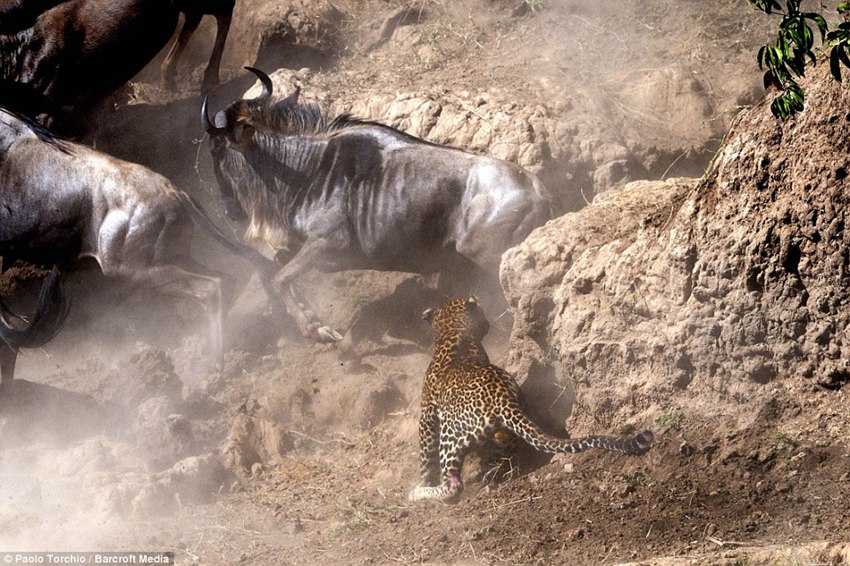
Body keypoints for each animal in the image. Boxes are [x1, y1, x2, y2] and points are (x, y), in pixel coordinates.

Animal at [408, 298, 652, 506]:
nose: (487, 323)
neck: (453, 331)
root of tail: (504, 400)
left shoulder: (427, 416)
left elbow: (425, 459)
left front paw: (424, 481)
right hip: (502, 432)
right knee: (501, 455)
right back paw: (488, 473)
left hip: (450, 436)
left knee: (453, 486)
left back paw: (419, 493)